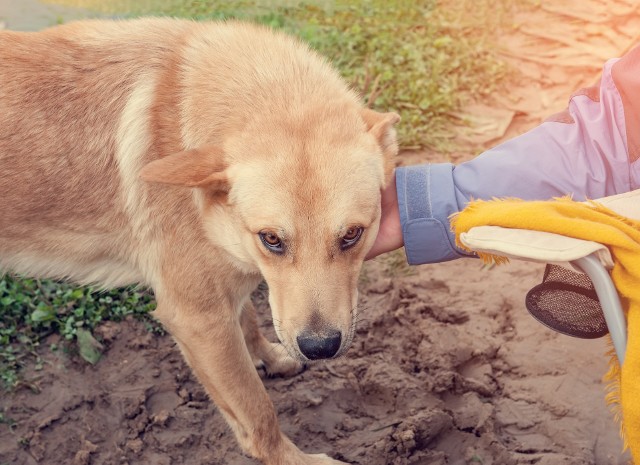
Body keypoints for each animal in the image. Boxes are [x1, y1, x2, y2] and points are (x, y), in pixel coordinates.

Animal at [0, 19, 398, 464]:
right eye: (271, 239)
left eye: (352, 234)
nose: (319, 347)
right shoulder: (197, 319)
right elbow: (257, 410)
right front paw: (292, 458)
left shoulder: (226, 283)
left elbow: (248, 318)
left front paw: (268, 356)